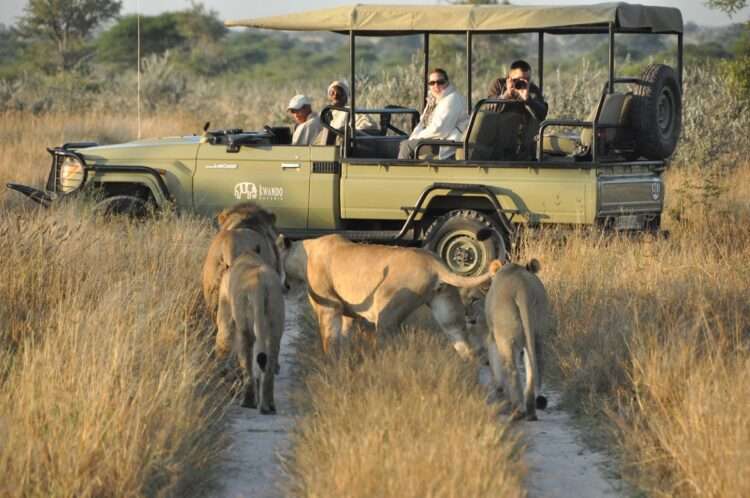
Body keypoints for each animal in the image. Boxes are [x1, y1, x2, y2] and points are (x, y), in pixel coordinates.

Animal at [219, 253, 290, 412]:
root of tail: (260, 283)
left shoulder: (225, 308)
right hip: (275, 321)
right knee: (268, 364)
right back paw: (267, 406)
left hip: (244, 327)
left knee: (247, 364)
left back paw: (248, 402)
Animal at [276, 234, 500, 358]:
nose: (284, 286)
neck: (304, 253)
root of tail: (434, 262)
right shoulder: (351, 315)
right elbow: (346, 337)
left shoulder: (329, 309)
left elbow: (329, 340)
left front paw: (329, 362)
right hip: (447, 310)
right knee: (464, 344)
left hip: (386, 313)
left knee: (387, 347)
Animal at [468, 260, 556, 420]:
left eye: (473, 300)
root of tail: (522, 287)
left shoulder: (492, 336)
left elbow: (495, 364)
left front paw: (499, 390)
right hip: (539, 334)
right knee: (535, 367)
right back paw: (530, 411)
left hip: (506, 338)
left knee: (512, 371)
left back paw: (518, 411)